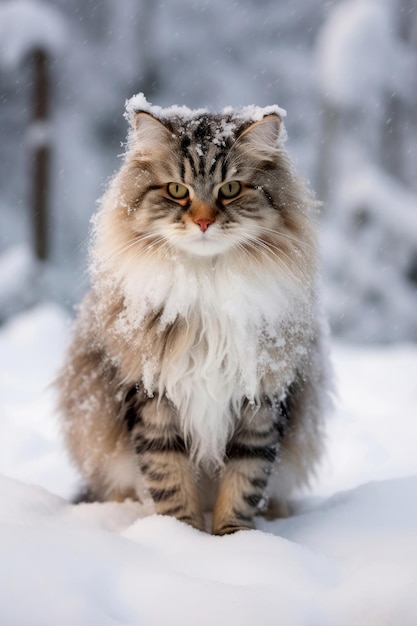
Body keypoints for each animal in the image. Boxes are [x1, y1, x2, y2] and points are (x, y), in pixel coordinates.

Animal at [56, 95, 328, 532]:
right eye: (176, 190)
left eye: (230, 189)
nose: (202, 222)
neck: (208, 285)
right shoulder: (151, 396)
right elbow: (169, 480)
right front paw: (180, 538)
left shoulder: (261, 395)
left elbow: (245, 481)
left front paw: (236, 539)